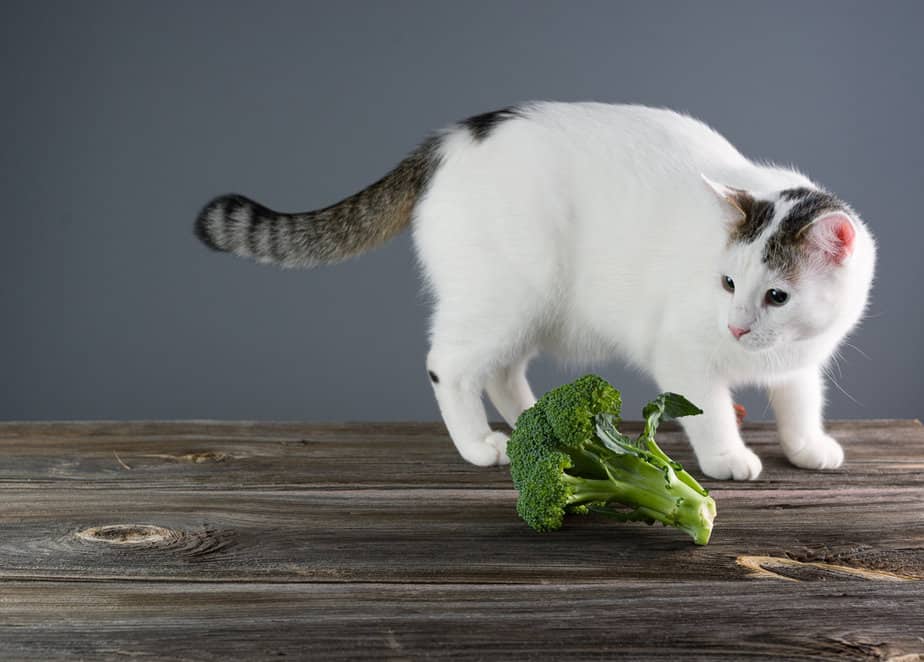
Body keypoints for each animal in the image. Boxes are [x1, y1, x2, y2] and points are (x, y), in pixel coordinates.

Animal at [193, 101, 872, 480]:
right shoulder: (681, 355)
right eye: (727, 283)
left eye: (776, 297)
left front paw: (808, 446)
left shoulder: (801, 362)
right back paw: (479, 445)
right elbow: (709, 411)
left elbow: (800, 400)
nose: (735, 324)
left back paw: (540, 424)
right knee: (449, 365)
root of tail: (448, 140)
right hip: (507, 295)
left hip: (531, 309)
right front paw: (729, 457)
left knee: (500, 371)